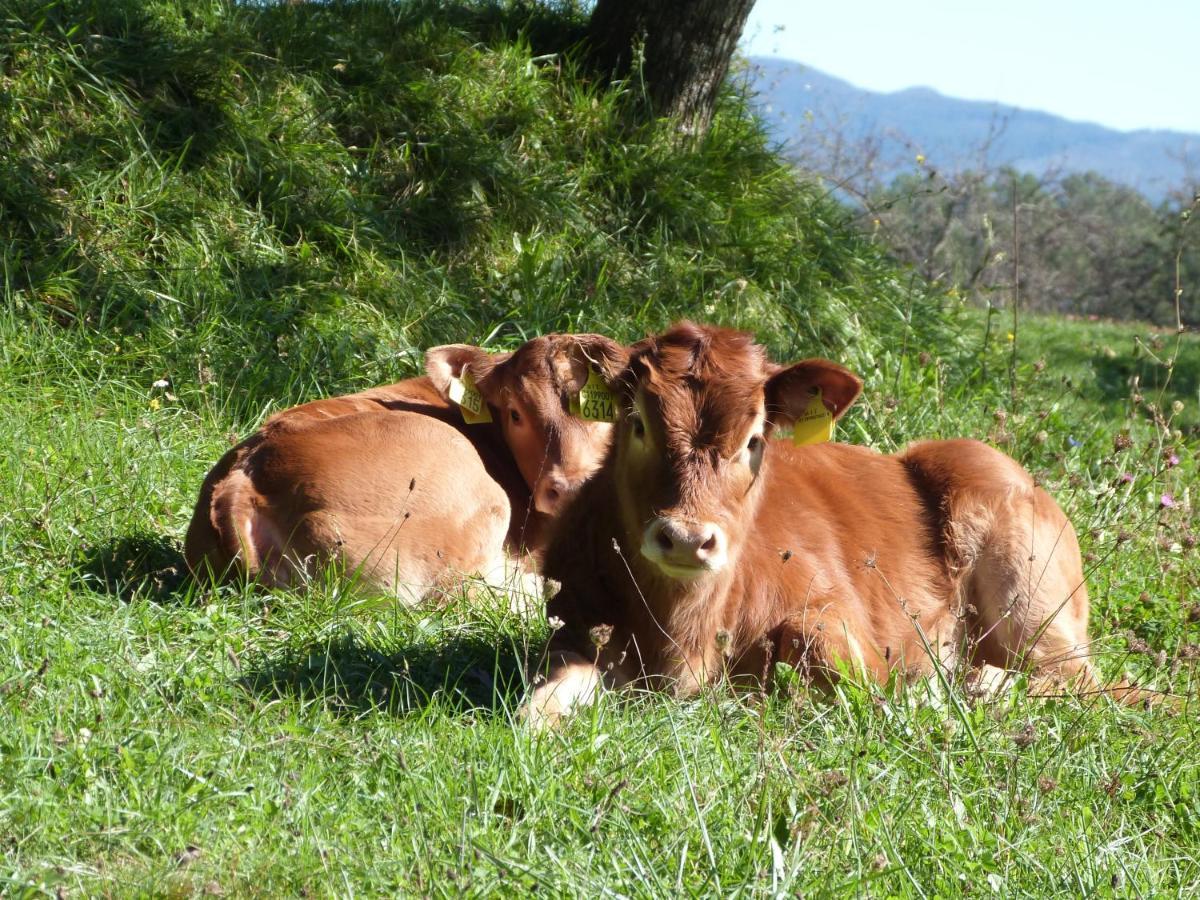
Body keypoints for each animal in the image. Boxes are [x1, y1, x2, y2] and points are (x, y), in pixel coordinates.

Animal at [530, 324, 1118, 724]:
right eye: (637, 423)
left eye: (754, 440)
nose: (687, 539)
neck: (681, 637)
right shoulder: (576, 621)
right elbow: (548, 692)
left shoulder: (840, 619)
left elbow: (826, 658)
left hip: (1032, 604)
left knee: (1088, 684)